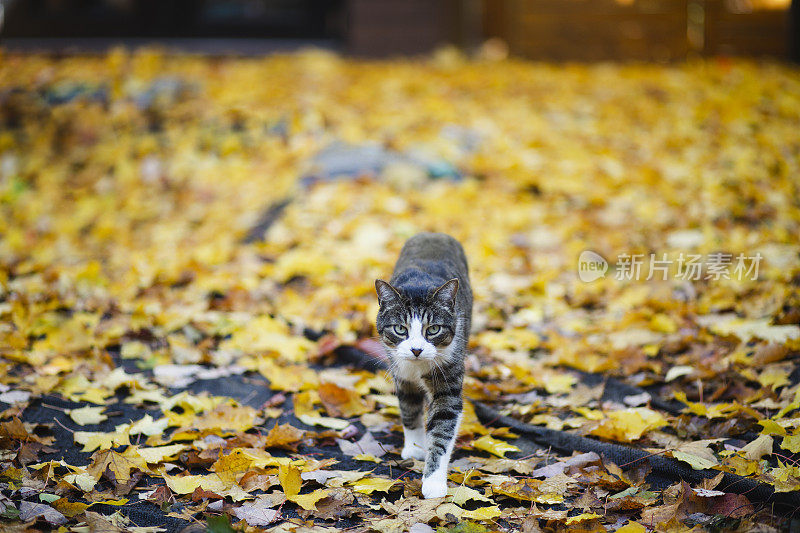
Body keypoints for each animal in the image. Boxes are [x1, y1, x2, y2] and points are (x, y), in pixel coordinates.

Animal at [374, 233, 468, 498]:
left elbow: (443, 428)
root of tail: (434, 233)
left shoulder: (449, 376)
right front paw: (415, 446)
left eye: (433, 329)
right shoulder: (400, 371)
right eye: (400, 329)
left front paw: (434, 482)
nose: (416, 349)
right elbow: (409, 408)